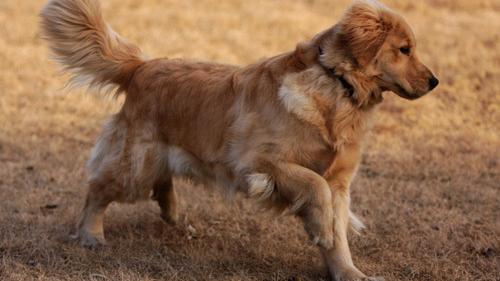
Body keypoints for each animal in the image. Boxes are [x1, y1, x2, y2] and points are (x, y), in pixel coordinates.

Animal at [40, 0, 438, 278]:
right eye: (404, 49)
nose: (435, 81)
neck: (336, 85)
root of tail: (142, 66)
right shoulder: (260, 163)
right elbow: (315, 187)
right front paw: (322, 231)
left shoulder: (340, 182)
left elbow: (337, 229)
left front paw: (348, 271)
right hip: (134, 165)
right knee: (98, 189)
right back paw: (91, 234)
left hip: (158, 155)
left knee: (162, 183)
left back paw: (175, 217)